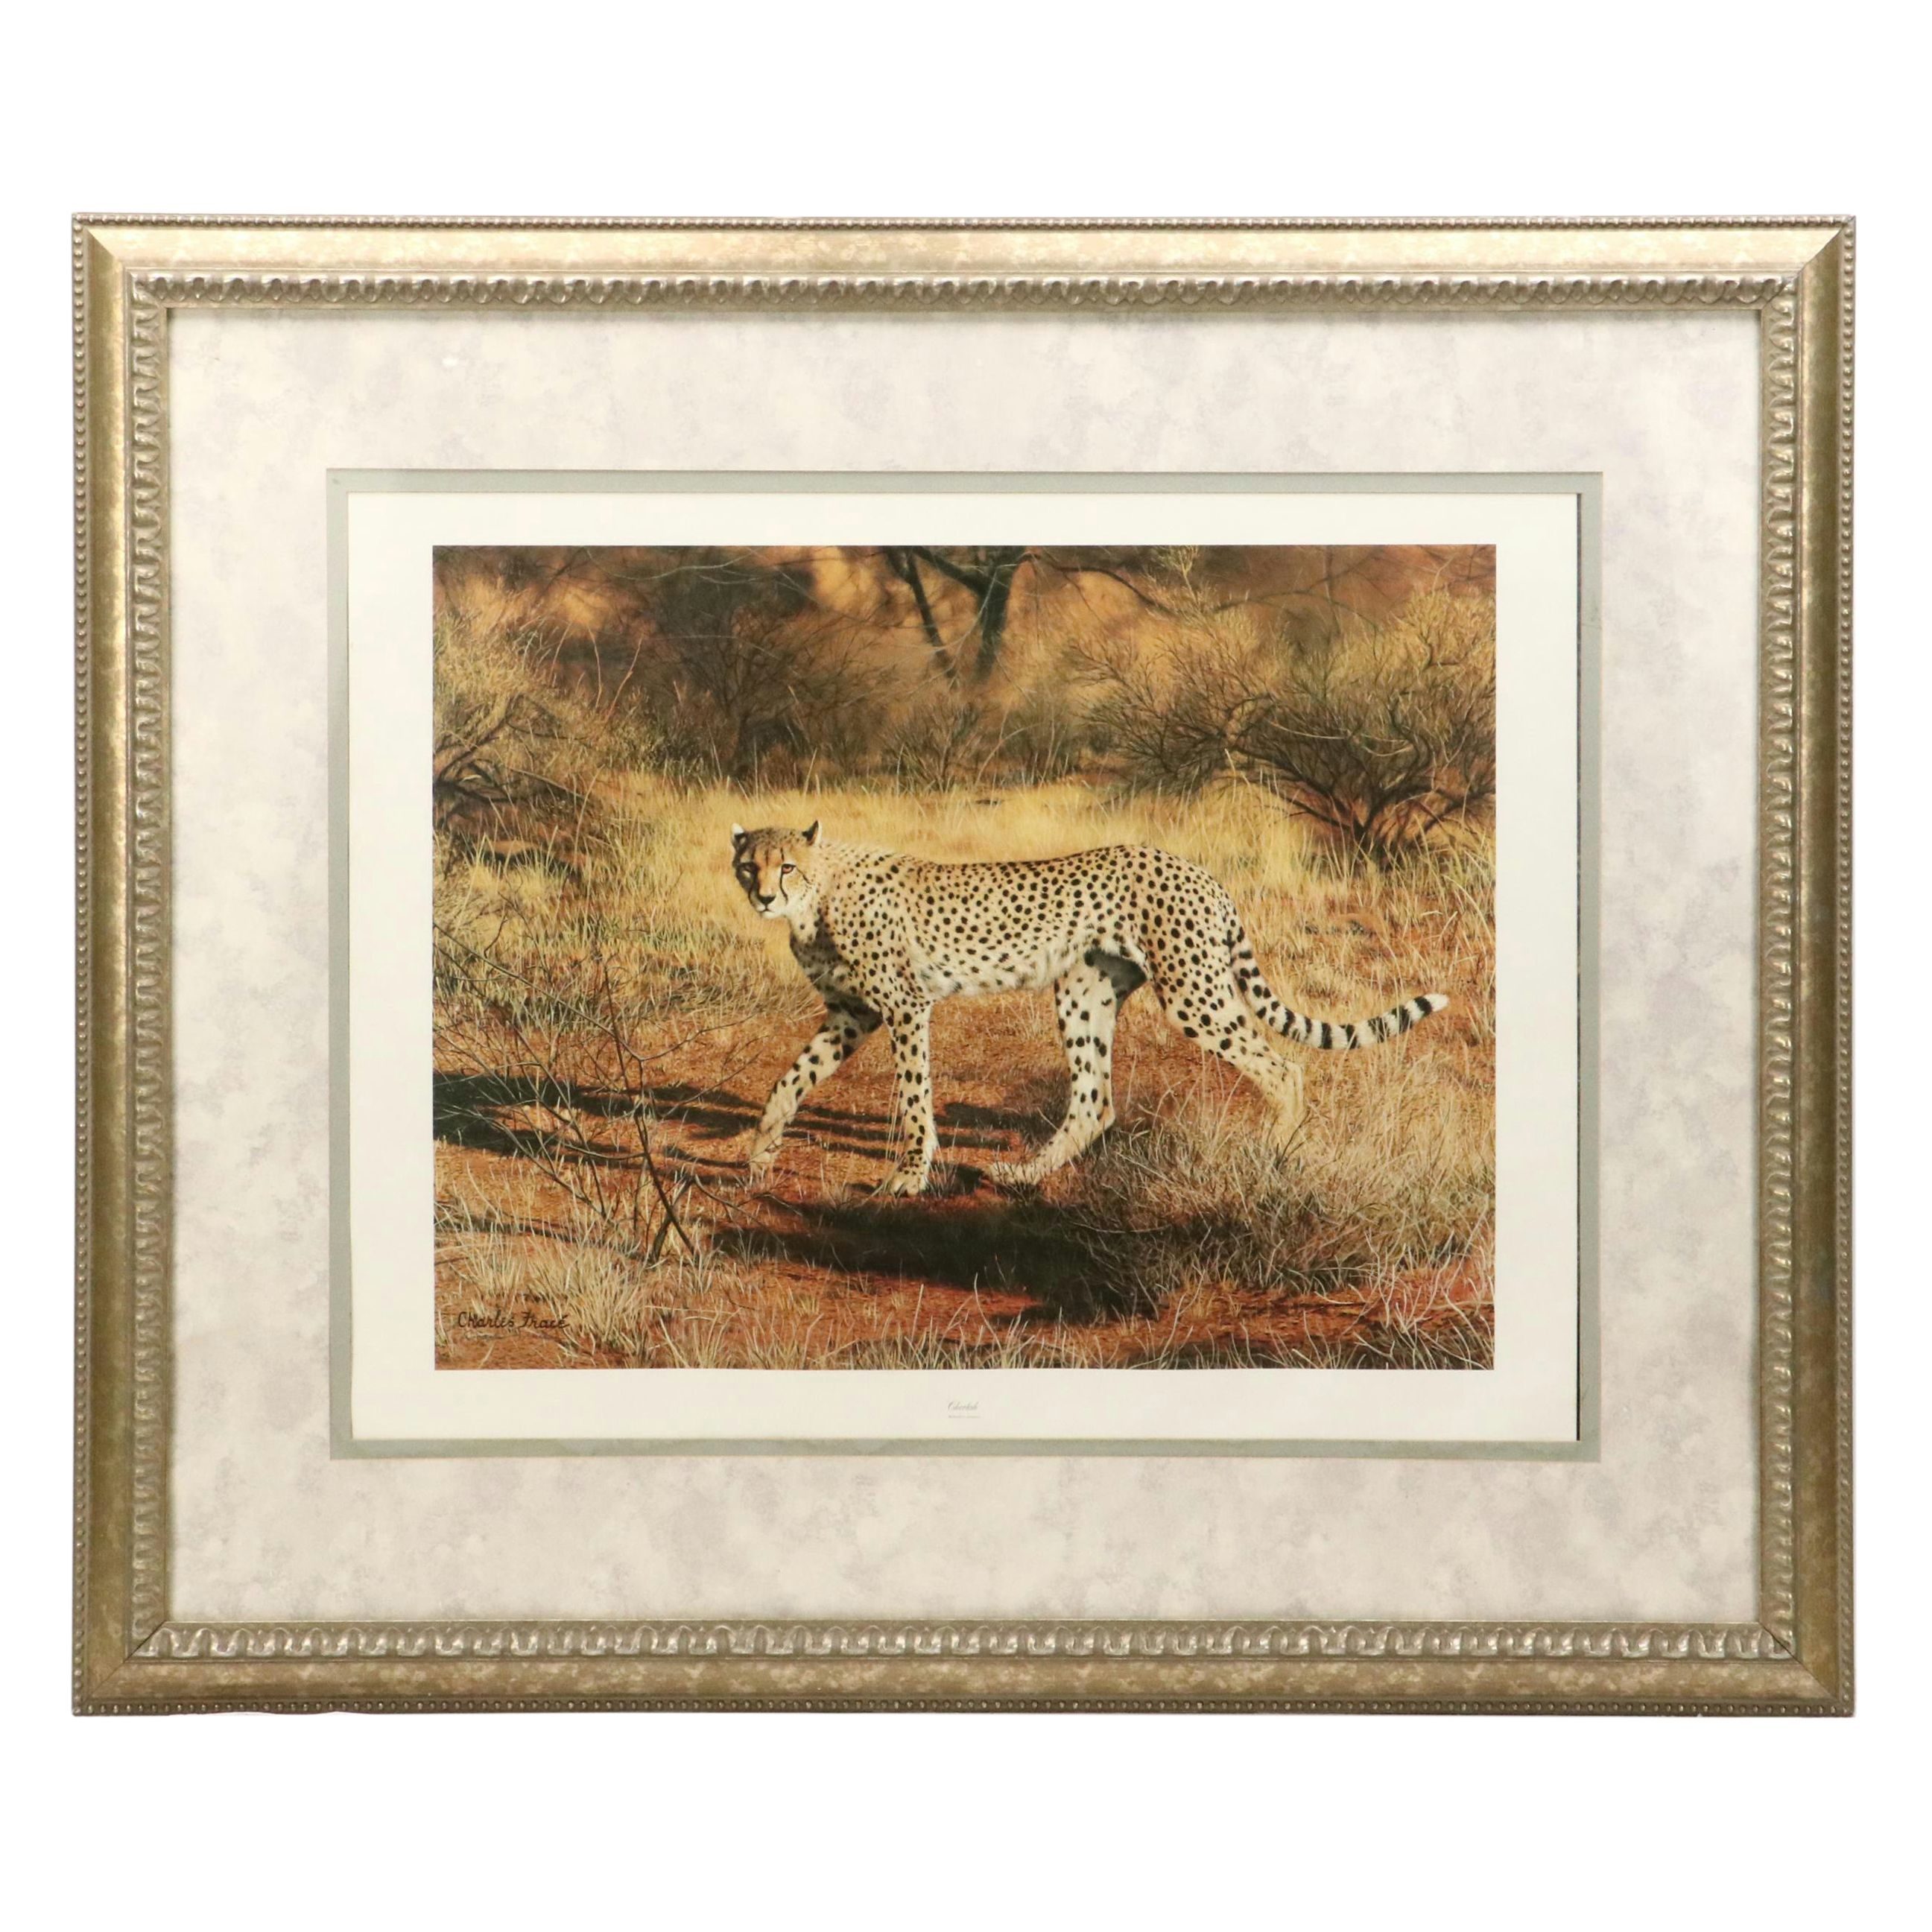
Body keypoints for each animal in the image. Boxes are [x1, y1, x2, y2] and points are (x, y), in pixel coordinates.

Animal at [730, 820, 1449, 1197]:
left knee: (1282, 1067)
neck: (818, 897)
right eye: (747, 866)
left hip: (1192, 992)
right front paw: (760, 1153)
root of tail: (1195, 868)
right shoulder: (852, 1014)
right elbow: (788, 1080)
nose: (762, 897)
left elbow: (912, 1096)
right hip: (1084, 993)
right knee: (1093, 1100)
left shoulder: (904, 1008)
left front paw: (908, 1176)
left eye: (786, 866)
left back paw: (1280, 1154)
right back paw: (1021, 1174)